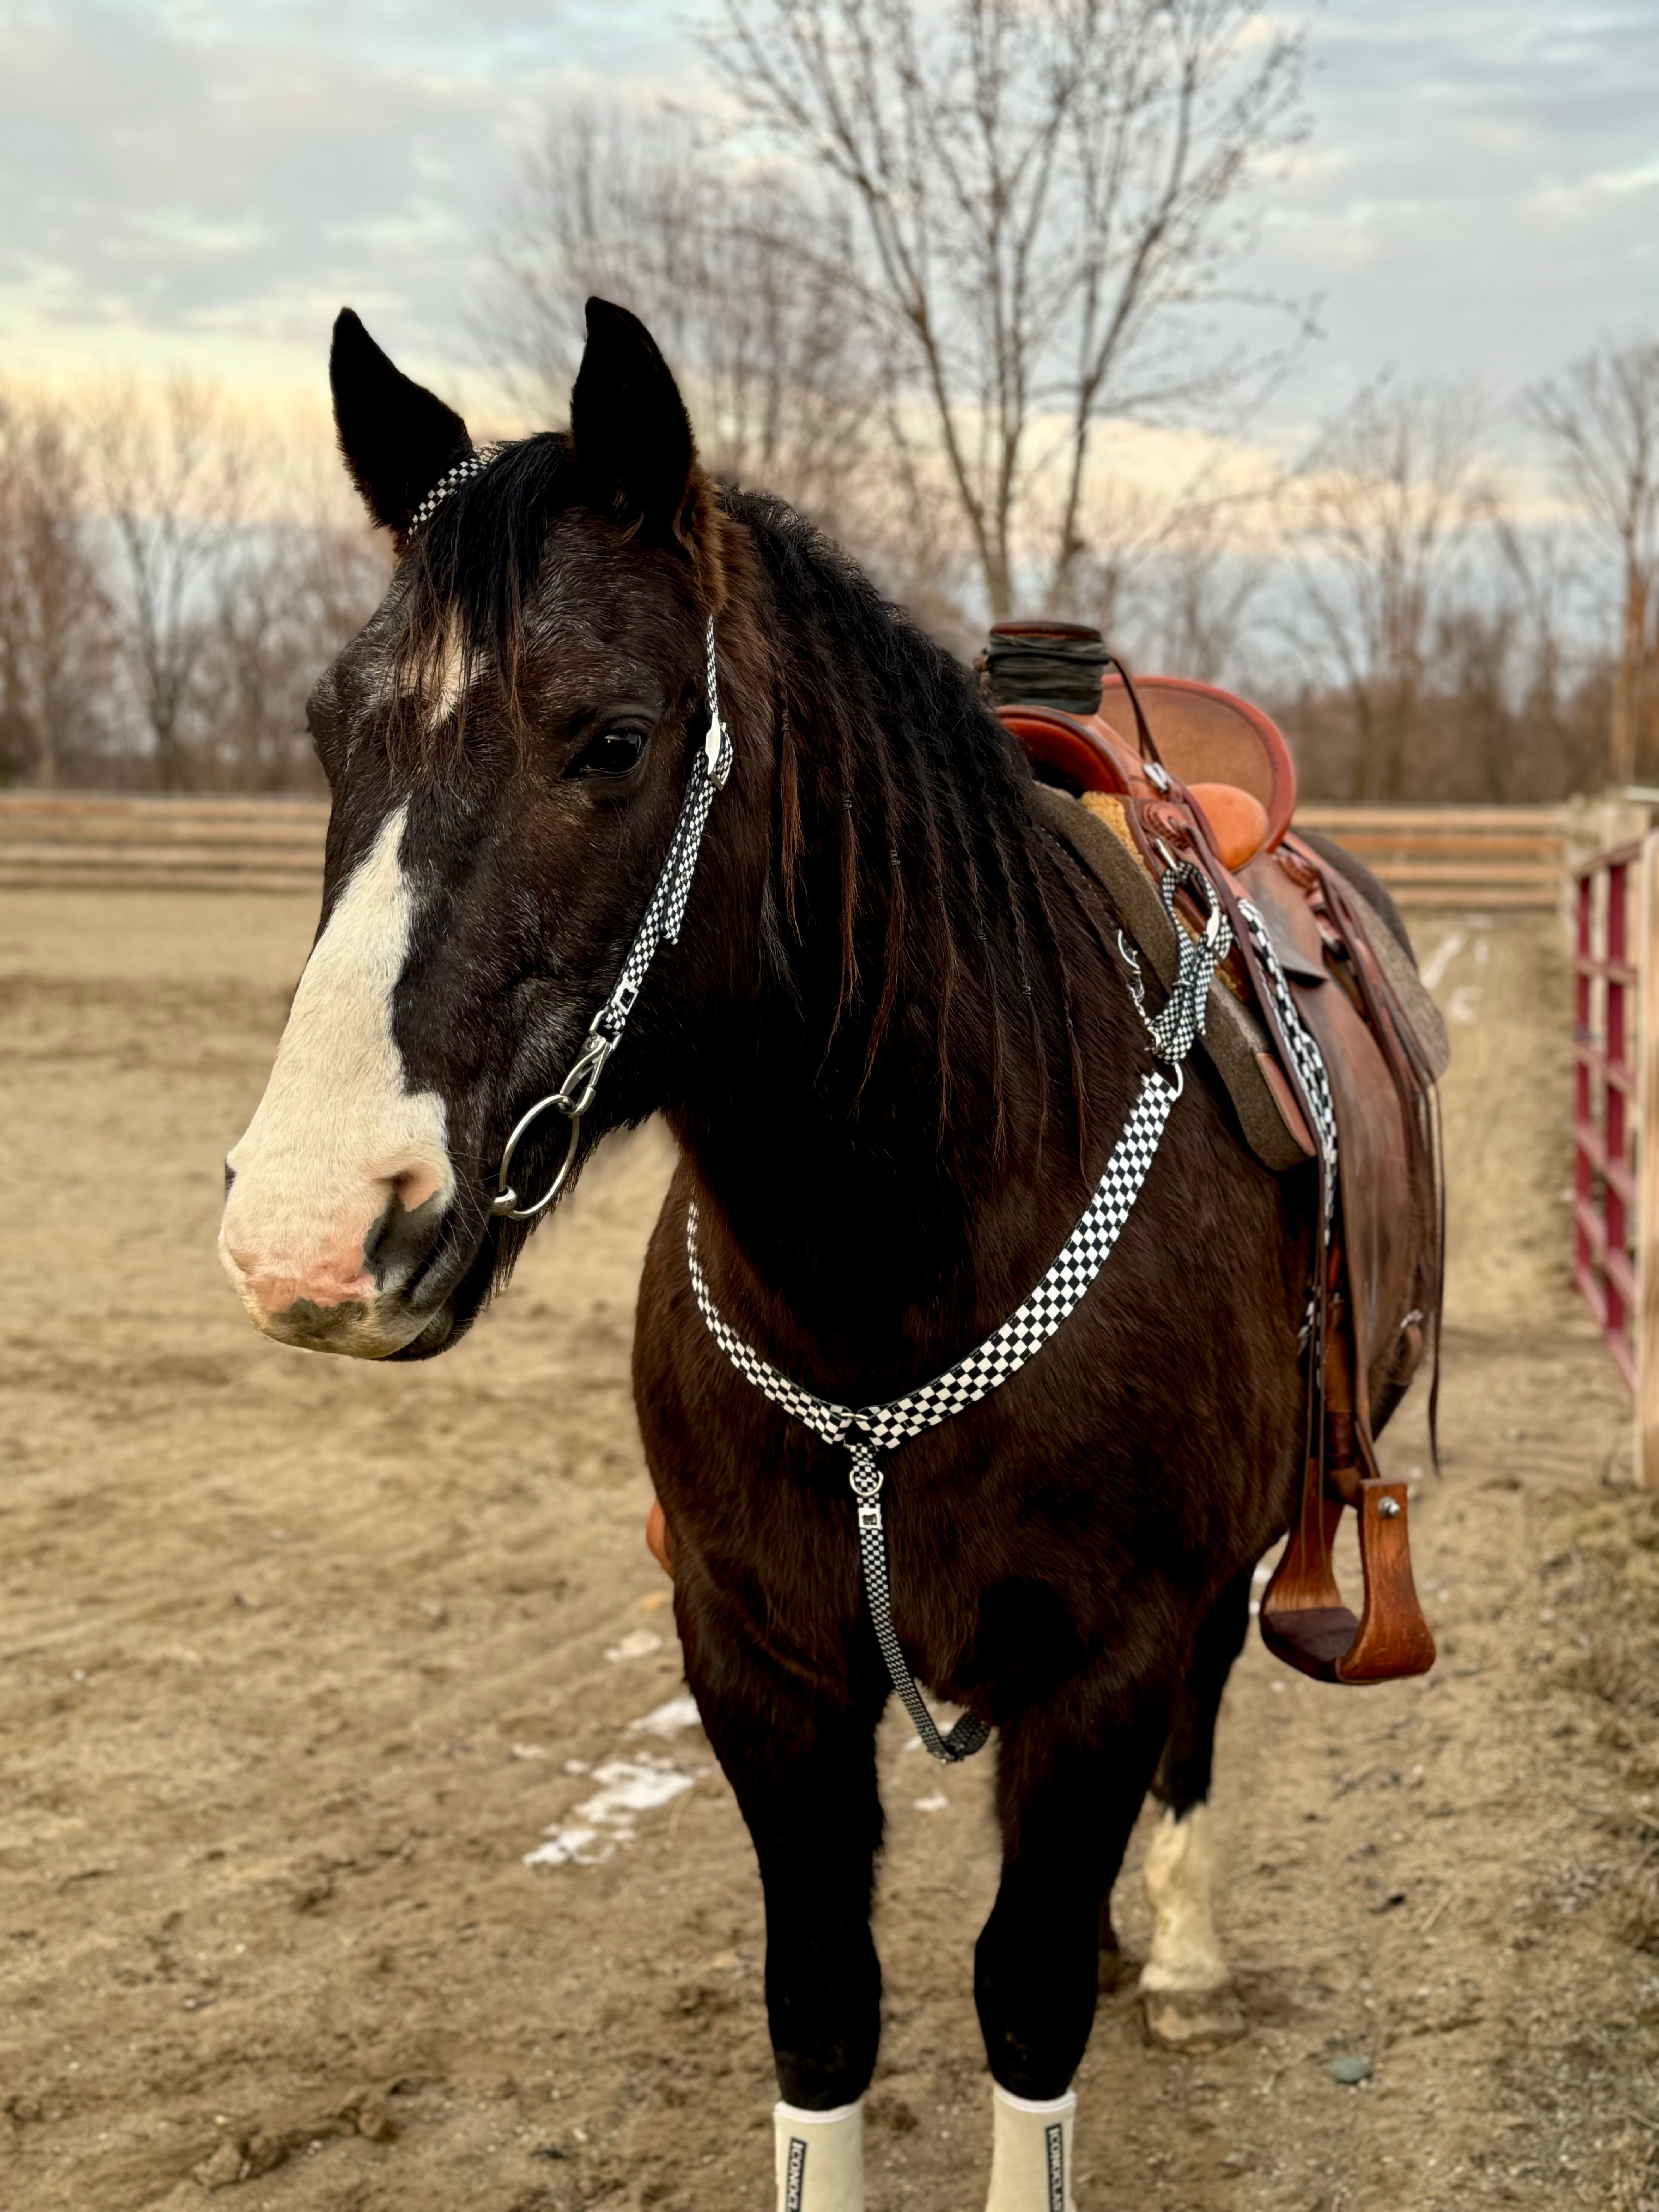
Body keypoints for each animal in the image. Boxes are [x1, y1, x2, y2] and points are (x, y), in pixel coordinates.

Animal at [221, 299, 1433, 2212]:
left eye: (610, 739)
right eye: (332, 733)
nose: (309, 1228)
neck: (898, 1273)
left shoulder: (1105, 1654)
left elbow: (1022, 1994)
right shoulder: (755, 1661)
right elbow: (821, 2005)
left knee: (1200, 1719)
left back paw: (1175, 1951)